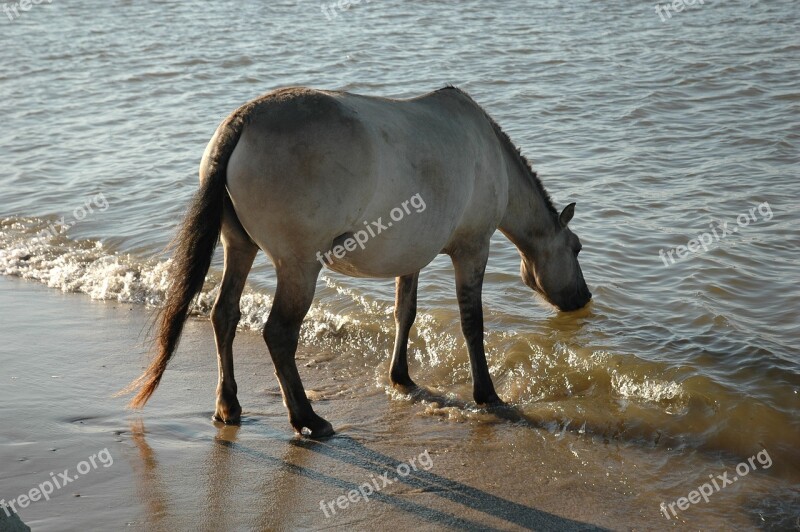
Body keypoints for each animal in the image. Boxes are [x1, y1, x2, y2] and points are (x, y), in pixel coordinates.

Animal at [122, 86, 592, 436]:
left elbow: (406, 313)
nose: (583, 298)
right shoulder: (473, 249)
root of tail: (243, 121)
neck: (489, 152)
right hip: (299, 266)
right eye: (576, 248)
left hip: (239, 246)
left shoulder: (411, 255)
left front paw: (401, 377)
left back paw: (229, 405)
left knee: (225, 315)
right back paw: (307, 419)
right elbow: (472, 325)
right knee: (278, 333)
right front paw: (487, 393)